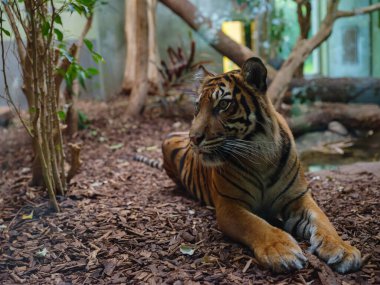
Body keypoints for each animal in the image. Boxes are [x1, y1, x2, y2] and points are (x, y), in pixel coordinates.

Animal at [157, 56, 362, 272]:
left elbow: (323, 221)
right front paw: (281, 250)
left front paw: (342, 249)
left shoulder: (298, 197)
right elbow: (256, 224)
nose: (194, 138)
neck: (261, 156)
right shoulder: (230, 206)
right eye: (197, 107)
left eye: (223, 104)